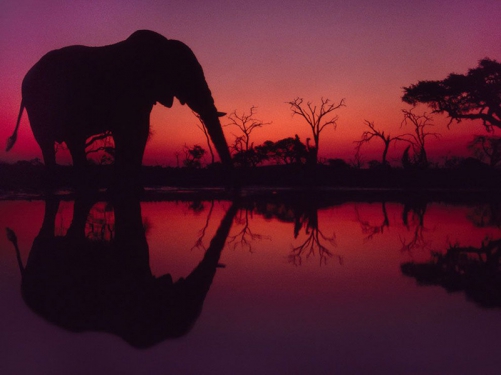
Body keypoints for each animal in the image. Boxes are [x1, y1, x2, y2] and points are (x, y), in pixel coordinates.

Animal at [4, 29, 231, 189]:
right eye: (184, 74)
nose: (231, 187)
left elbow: (140, 132)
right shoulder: (126, 90)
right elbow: (128, 131)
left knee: (72, 141)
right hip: (38, 106)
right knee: (50, 142)